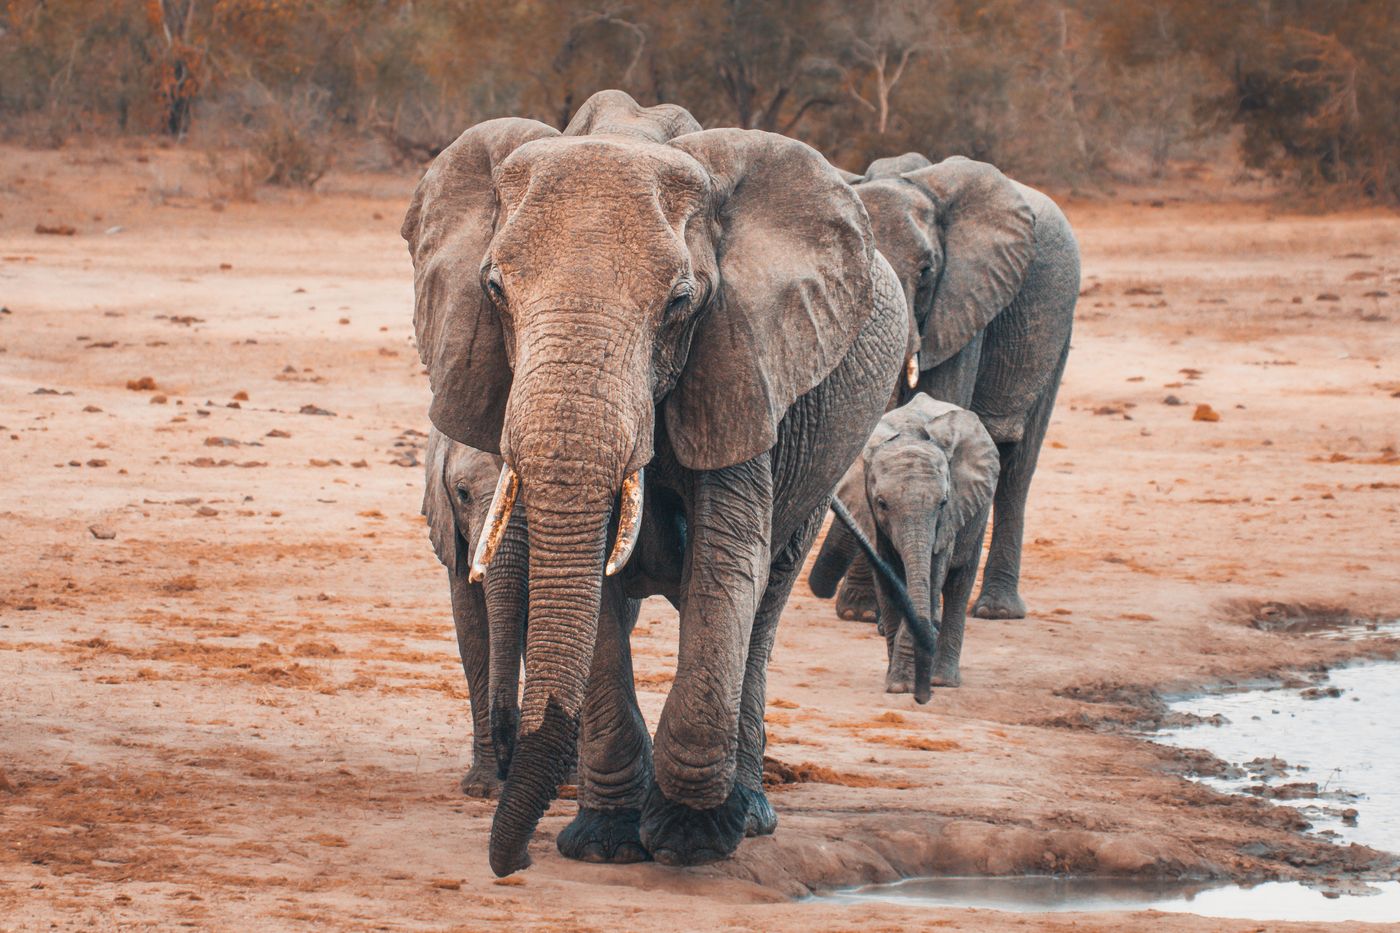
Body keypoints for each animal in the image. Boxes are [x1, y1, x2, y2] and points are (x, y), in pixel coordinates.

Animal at [401, 90, 910, 876]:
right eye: (493, 289)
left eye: (679, 302)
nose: (510, 863)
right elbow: (594, 592)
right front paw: (606, 844)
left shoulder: (741, 360)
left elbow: (726, 566)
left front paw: (690, 840)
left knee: (766, 600)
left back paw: (750, 813)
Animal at [810, 394, 999, 696]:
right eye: (881, 504)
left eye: (943, 502)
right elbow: (890, 584)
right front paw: (897, 683)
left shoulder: (948, 518)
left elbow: (931, 576)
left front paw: (904, 685)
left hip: (976, 512)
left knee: (960, 583)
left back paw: (943, 680)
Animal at [819, 153, 1079, 622]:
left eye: (925, 272)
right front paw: (863, 612)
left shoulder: (965, 297)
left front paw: (869, 613)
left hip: (1058, 326)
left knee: (1018, 466)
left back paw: (996, 610)